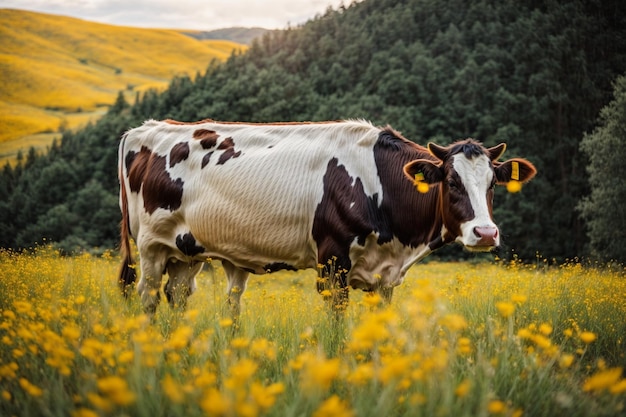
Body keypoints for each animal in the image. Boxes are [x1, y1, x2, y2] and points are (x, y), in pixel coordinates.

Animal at [118, 118, 536, 314]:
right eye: (451, 181)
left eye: (492, 184)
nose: (485, 233)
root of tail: (150, 128)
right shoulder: (332, 261)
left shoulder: (384, 278)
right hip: (150, 246)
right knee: (148, 297)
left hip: (187, 251)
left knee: (178, 296)